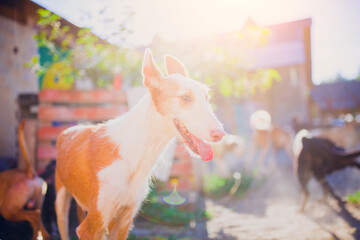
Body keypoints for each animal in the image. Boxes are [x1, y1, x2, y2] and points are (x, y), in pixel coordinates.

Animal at [55, 49, 225, 240]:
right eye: (185, 97)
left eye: (206, 97)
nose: (221, 134)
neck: (137, 153)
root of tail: (72, 127)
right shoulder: (91, 227)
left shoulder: (123, 222)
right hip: (61, 204)